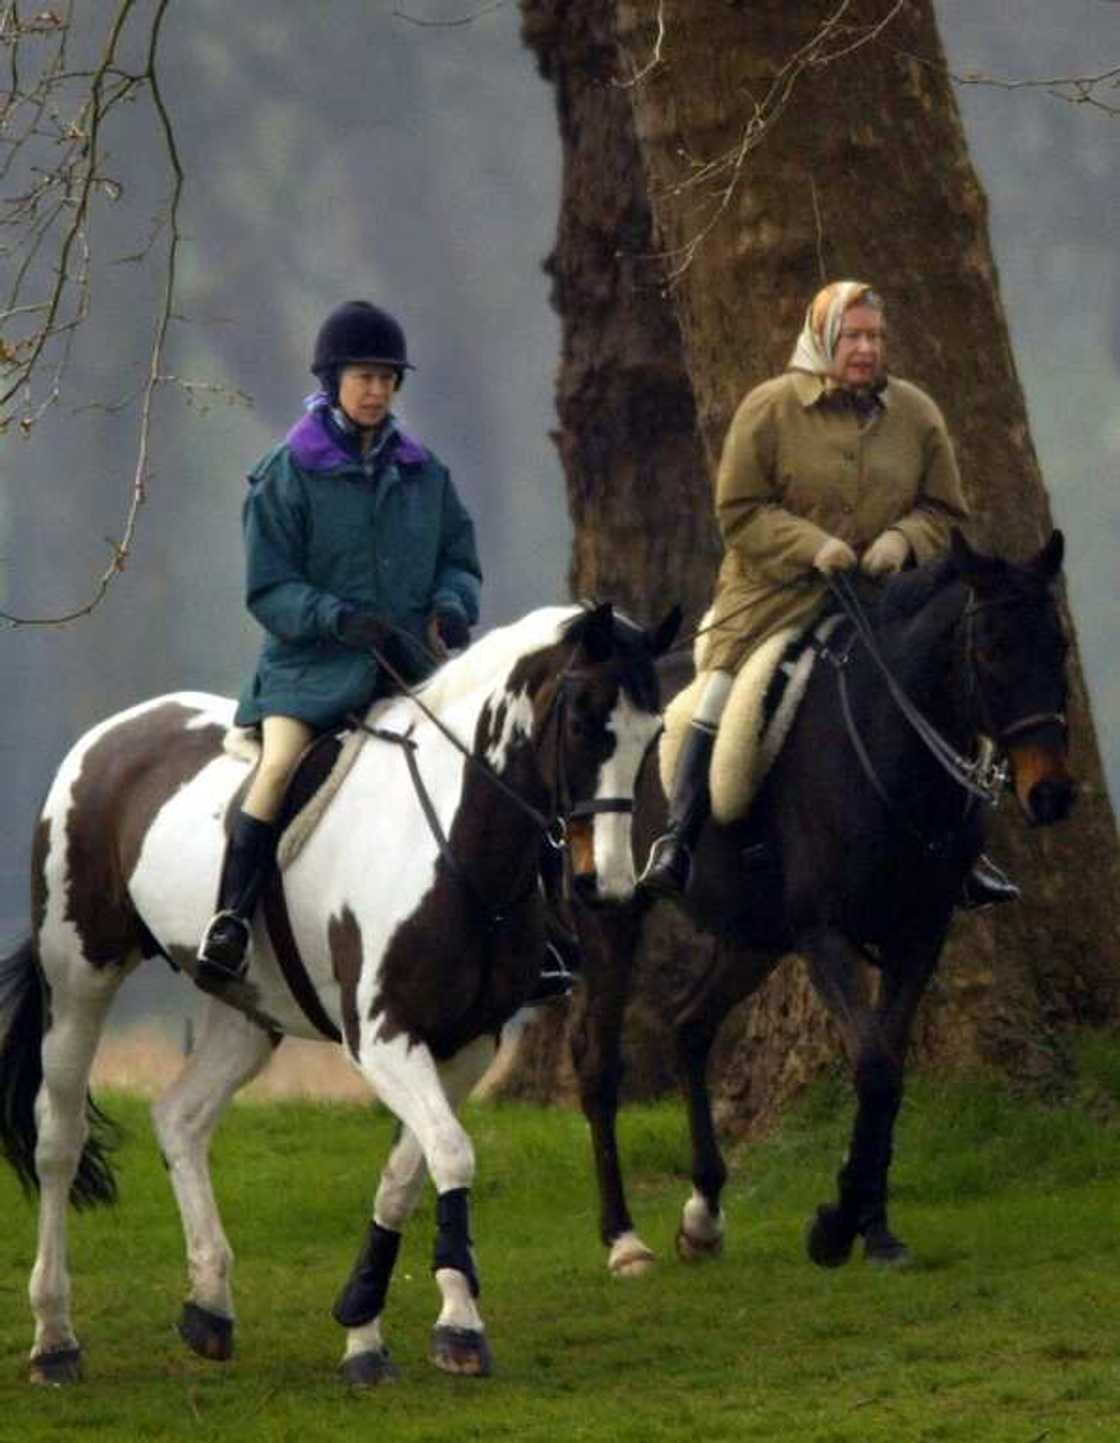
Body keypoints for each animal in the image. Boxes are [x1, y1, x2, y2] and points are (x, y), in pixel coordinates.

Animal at [0, 601, 679, 1386]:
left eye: (653, 733)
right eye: (583, 720)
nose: (610, 886)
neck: (452, 845)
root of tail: (109, 734)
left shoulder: (469, 1042)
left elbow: (407, 1173)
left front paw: (371, 1326)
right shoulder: (383, 1038)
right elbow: (452, 1153)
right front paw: (458, 1327)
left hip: (247, 1010)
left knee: (181, 1118)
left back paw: (209, 1307)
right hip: (80, 978)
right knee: (59, 1137)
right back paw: (55, 1337)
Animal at [565, 531, 1074, 1277]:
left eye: (1059, 644)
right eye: (990, 650)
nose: (1053, 794)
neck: (888, 751)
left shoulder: (918, 934)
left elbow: (887, 1072)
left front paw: (875, 1228)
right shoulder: (825, 935)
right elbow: (875, 1068)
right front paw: (836, 1226)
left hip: (754, 937)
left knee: (690, 1024)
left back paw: (703, 1215)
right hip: (612, 914)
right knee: (600, 1064)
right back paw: (624, 1238)